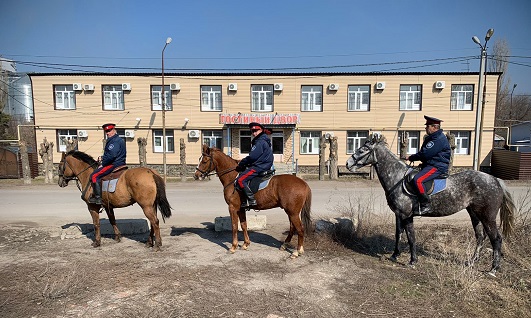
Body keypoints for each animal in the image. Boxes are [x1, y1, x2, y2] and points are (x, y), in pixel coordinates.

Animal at [344, 135, 516, 276]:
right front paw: (394, 255)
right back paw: (471, 262)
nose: (347, 163)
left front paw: (412, 261)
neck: (397, 179)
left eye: (363, 149)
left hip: (487, 216)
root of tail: (494, 180)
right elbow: (398, 234)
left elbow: (411, 237)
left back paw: (493, 269)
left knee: (496, 239)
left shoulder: (406, 215)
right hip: (474, 213)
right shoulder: (398, 214)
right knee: (480, 237)